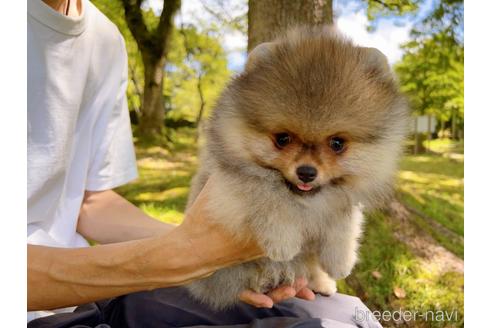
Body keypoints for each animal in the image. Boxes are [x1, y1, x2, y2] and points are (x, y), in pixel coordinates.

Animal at [184, 26, 408, 310]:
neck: (306, 201)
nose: (306, 172)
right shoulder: (227, 179)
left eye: (337, 143)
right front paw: (282, 241)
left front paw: (341, 261)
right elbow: (267, 194)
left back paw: (321, 282)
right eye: (282, 139)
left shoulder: (343, 200)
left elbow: (344, 224)